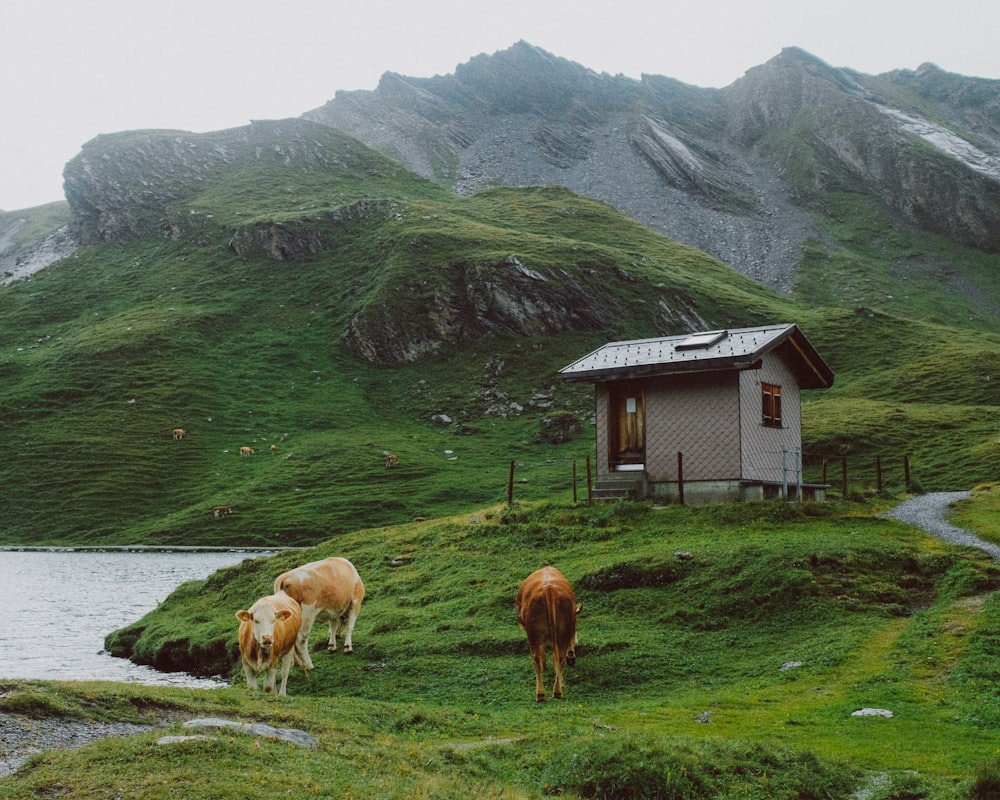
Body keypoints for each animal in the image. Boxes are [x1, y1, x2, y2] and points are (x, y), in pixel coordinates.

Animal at [516, 564, 580, 704]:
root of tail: (549, 589)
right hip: (562, 631)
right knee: (559, 658)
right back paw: (557, 691)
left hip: (534, 634)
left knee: (536, 659)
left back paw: (540, 694)